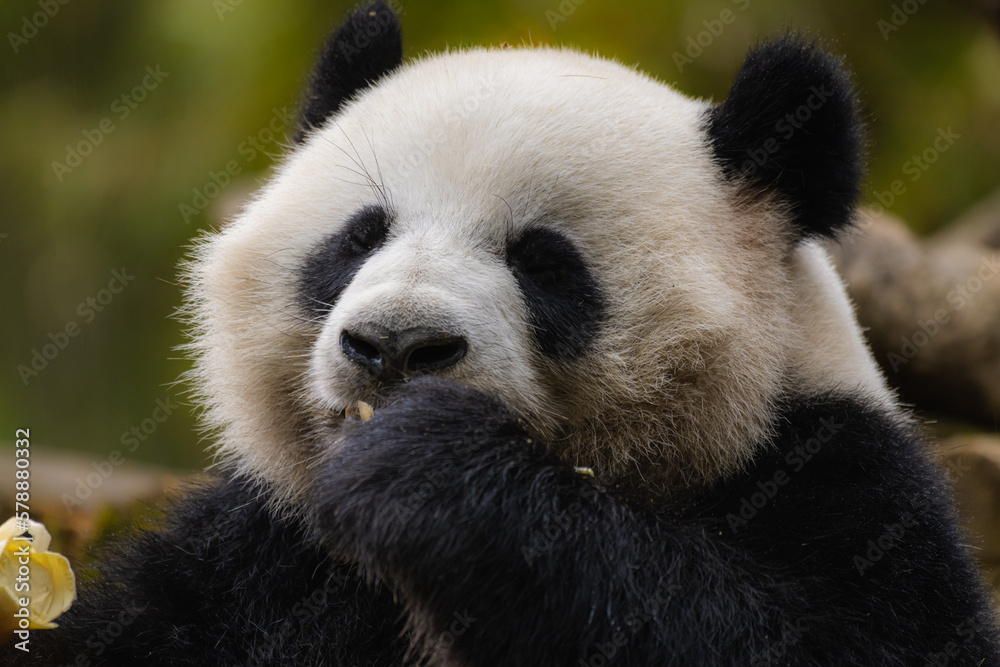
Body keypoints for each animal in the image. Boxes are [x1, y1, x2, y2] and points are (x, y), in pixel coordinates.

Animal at [13, 2, 1000, 665]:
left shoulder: (838, 475)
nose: (396, 346)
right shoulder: (259, 552)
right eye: (360, 234)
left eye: (544, 262)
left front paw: (432, 471)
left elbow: (810, 635)